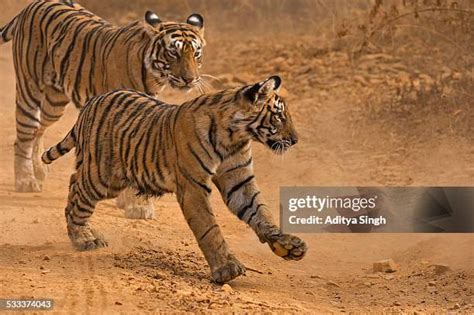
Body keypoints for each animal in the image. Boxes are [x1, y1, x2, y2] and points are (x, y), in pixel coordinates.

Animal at [0, 0, 204, 220]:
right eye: (173, 53)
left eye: (196, 54)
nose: (190, 79)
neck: (154, 77)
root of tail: (32, 5)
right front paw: (138, 207)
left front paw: (127, 202)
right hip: (30, 89)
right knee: (24, 136)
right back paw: (25, 180)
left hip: (54, 102)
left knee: (39, 129)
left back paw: (39, 169)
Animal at [40, 76, 308, 284]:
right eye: (279, 117)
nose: (296, 140)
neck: (236, 136)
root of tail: (92, 101)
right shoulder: (193, 186)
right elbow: (209, 228)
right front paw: (226, 268)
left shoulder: (239, 181)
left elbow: (260, 211)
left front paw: (287, 244)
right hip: (103, 176)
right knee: (78, 193)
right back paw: (84, 238)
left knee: (74, 183)